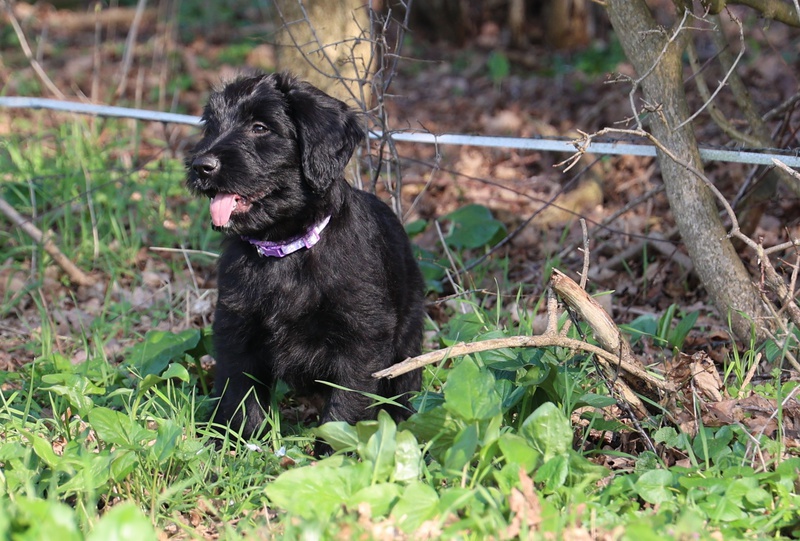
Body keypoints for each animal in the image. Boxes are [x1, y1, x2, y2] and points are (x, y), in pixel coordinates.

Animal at [186, 72, 425, 450]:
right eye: (211, 126)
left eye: (259, 127)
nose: (201, 166)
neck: (285, 250)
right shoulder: (235, 327)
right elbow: (239, 391)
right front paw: (238, 444)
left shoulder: (363, 335)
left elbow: (347, 402)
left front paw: (337, 453)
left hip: (408, 337)